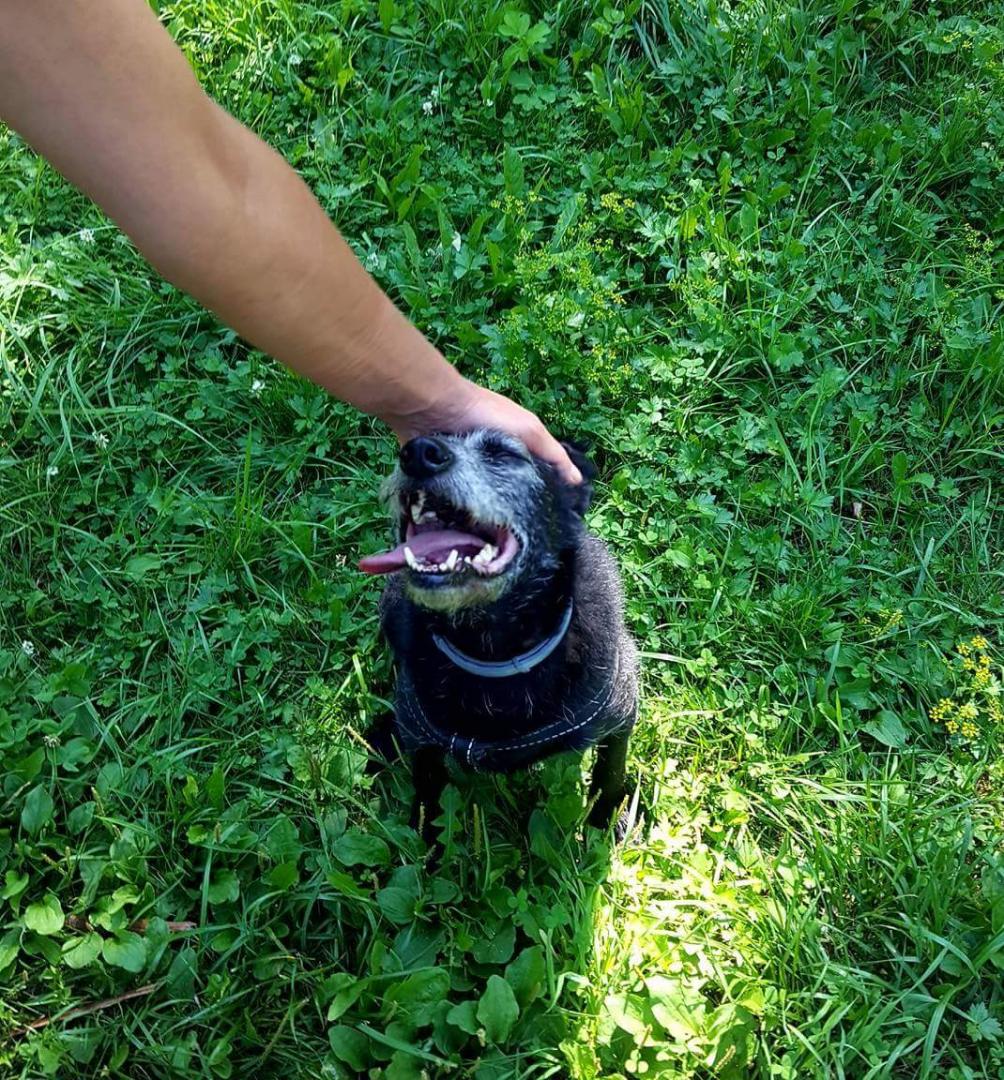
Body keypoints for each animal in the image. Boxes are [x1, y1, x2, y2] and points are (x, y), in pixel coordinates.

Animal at [359, 429, 639, 841]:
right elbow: (428, 792)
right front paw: (428, 845)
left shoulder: (621, 712)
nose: (418, 452)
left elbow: (610, 772)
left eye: (503, 454)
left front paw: (604, 820)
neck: (495, 654)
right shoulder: (423, 737)